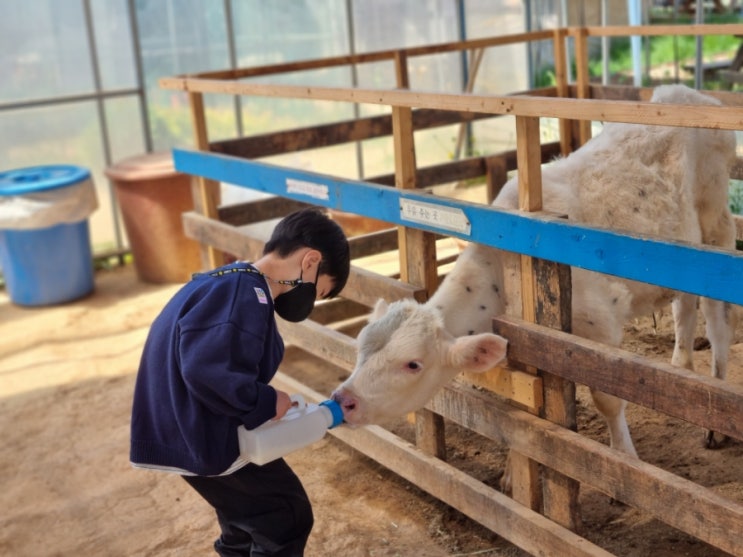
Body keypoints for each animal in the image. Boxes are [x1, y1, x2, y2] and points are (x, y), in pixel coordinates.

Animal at [336, 82, 740, 456]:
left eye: (413, 364)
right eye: (361, 347)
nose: (344, 399)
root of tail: (688, 93)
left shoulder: (600, 322)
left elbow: (609, 399)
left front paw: (624, 457)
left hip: (716, 224)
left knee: (717, 315)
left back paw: (715, 413)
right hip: (681, 250)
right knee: (684, 302)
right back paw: (681, 364)